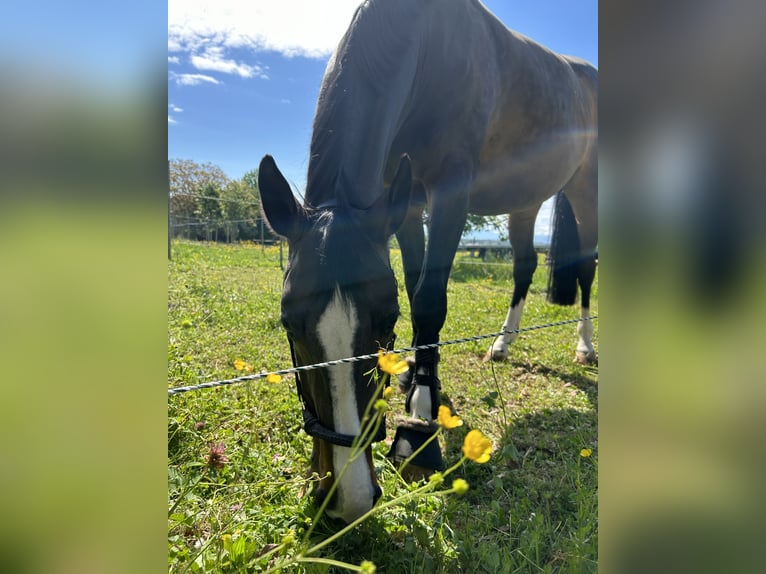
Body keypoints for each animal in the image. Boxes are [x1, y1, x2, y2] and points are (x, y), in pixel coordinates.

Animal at [258, 0, 600, 524]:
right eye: (289, 325)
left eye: (386, 322)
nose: (347, 498)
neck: (425, 47)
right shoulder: (405, 201)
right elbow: (416, 283)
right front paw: (420, 378)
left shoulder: (448, 189)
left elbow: (429, 300)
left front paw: (419, 415)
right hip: (525, 201)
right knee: (524, 267)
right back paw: (502, 345)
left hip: (585, 188)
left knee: (585, 269)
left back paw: (585, 346)